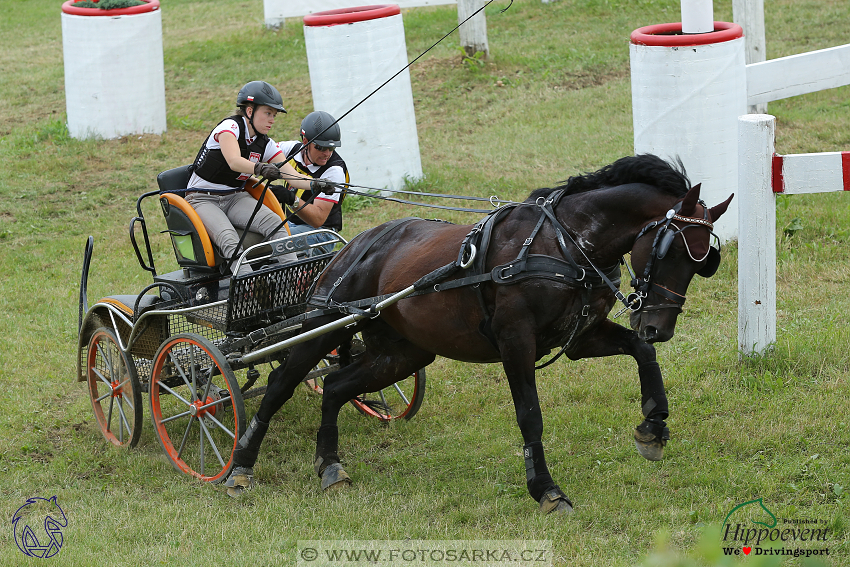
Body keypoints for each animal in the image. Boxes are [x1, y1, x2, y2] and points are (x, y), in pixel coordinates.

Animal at [227, 154, 736, 516]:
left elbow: (641, 352)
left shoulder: (580, 338)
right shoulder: (516, 341)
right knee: (280, 385)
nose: (659, 326)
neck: (567, 244)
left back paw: (330, 464)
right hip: (320, 328)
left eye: (703, 261)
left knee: (334, 385)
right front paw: (547, 490)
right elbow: (530, 416)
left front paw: (654, 425)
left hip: (404, 354)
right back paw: (240, 466)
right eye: (670, 249)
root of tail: (353, 244)